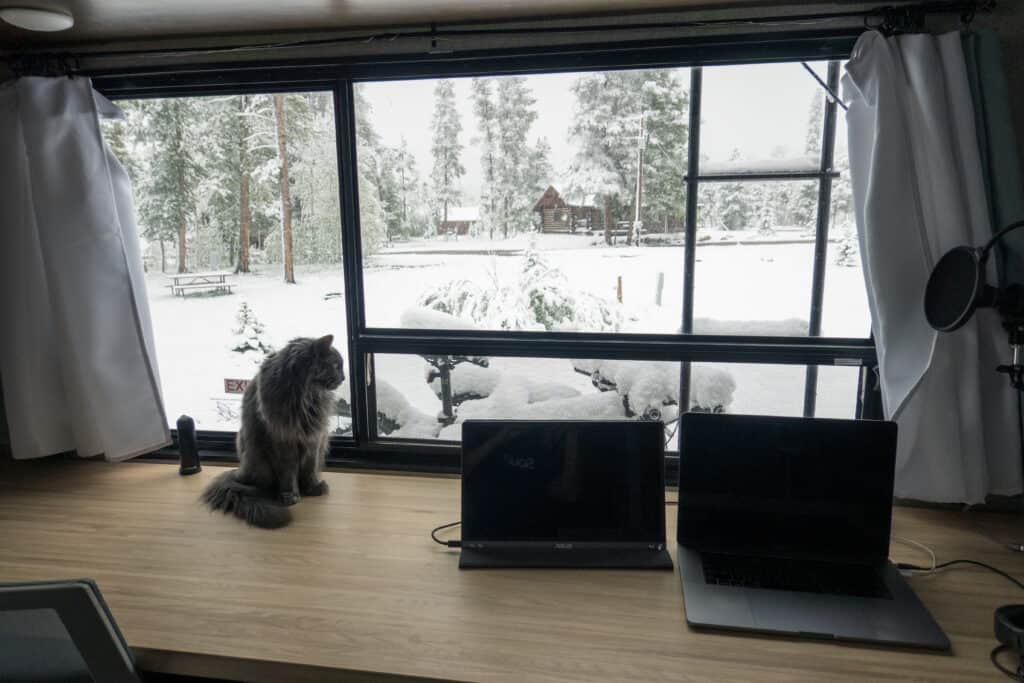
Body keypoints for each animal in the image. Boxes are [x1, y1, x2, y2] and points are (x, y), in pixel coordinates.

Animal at [201, 335, 346, 528]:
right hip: (257, 458)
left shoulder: (314, 438)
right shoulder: (281, 439)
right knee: (261, 487)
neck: (304, 396)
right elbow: (288, 473)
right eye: (336, 365)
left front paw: (313, 487)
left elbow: (310, 467)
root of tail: (239, 473)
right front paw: (291, 495)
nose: (344, 378)